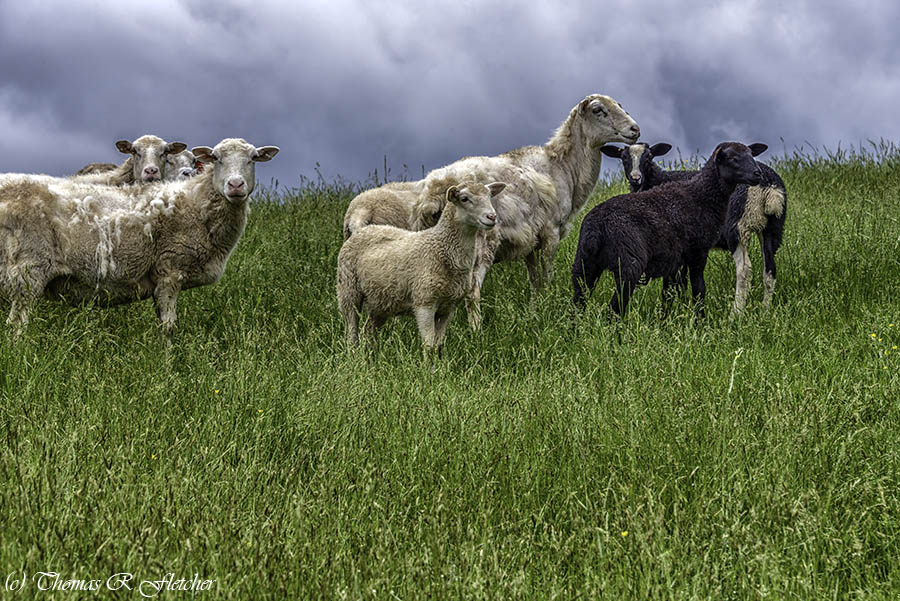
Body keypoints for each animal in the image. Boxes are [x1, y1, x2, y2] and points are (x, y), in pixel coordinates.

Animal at [0, 136, 280, 336]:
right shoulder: (169, 270)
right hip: (29, 269)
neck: (195, 201)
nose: (236, 185)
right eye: (216, 157)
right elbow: (168, 328)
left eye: (253, 158)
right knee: (16, 325)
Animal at [338, 180, 506, 354]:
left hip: (380, 301)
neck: (442, 248)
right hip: (348, 289)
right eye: (464, 199)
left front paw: (440, 362)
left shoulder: (448, 308)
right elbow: (429, 345)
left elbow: (439, 345)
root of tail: (362, 228)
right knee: (351, 332)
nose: (492, 217)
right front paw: (427, 362)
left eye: (489, 195)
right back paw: (353, 355)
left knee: (368, 331)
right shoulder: (424, 303)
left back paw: (370, 357)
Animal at [572, 141, 764, 318]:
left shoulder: (675, 260)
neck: (701, 195)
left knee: (578, 304)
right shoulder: (697, 251)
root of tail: (598, 227)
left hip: (584, 263)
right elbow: (698, 289)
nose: (758, 173)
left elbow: (669, 293)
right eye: (733, 158)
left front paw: (666, 319)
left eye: (751, 154)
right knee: (614, 308)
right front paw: (699, 321)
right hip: (628, 265)